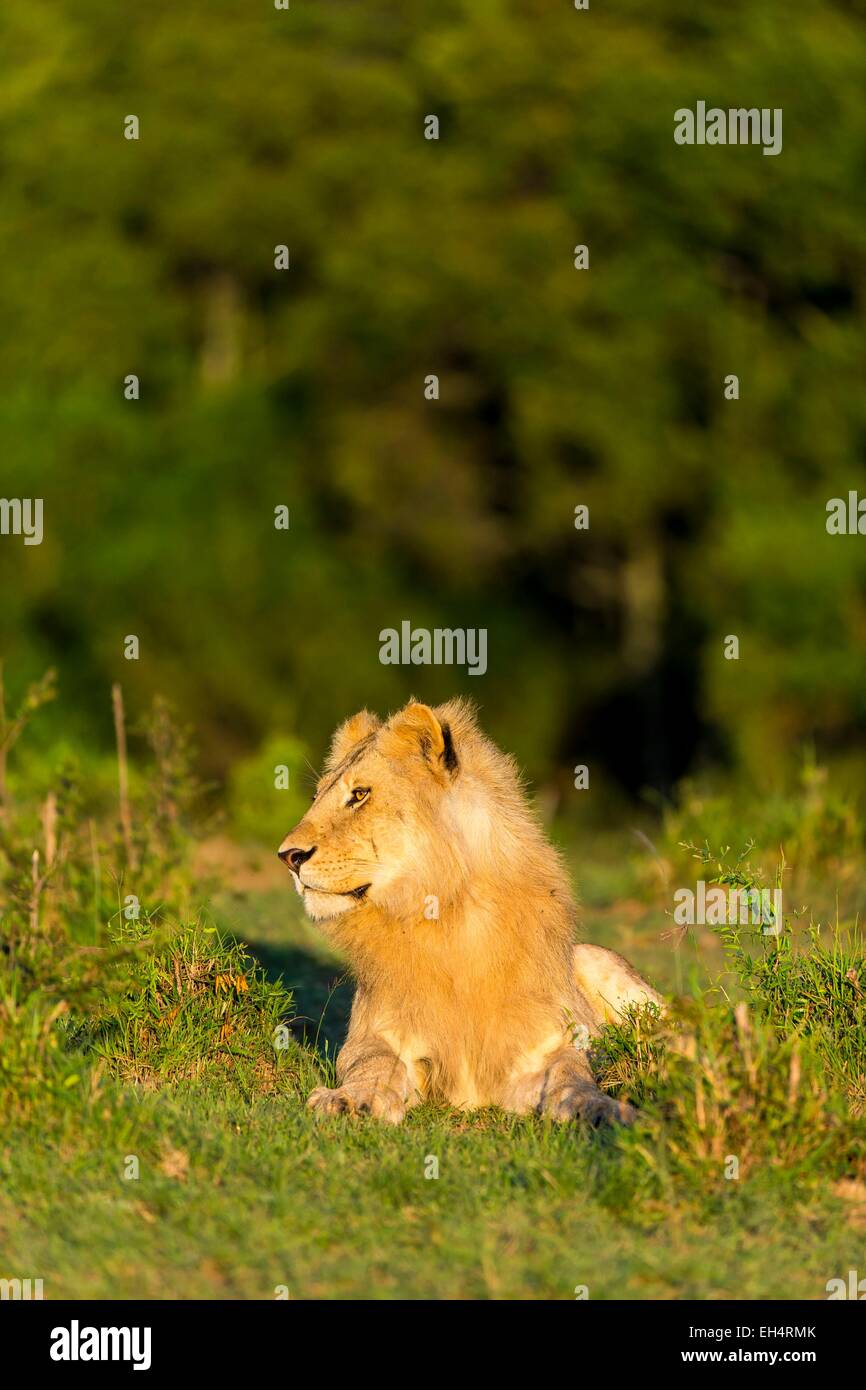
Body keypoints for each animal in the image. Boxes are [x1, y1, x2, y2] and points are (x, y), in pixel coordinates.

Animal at [278, 699, 661, 1126]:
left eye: (359, 794)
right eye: (316, 796)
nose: (288, 856)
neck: (446, 917)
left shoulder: (548, 1042)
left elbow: (571, 1073)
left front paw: (603, 1110)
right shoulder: (375, 1035)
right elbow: (372, 1064)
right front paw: (345, 1100)